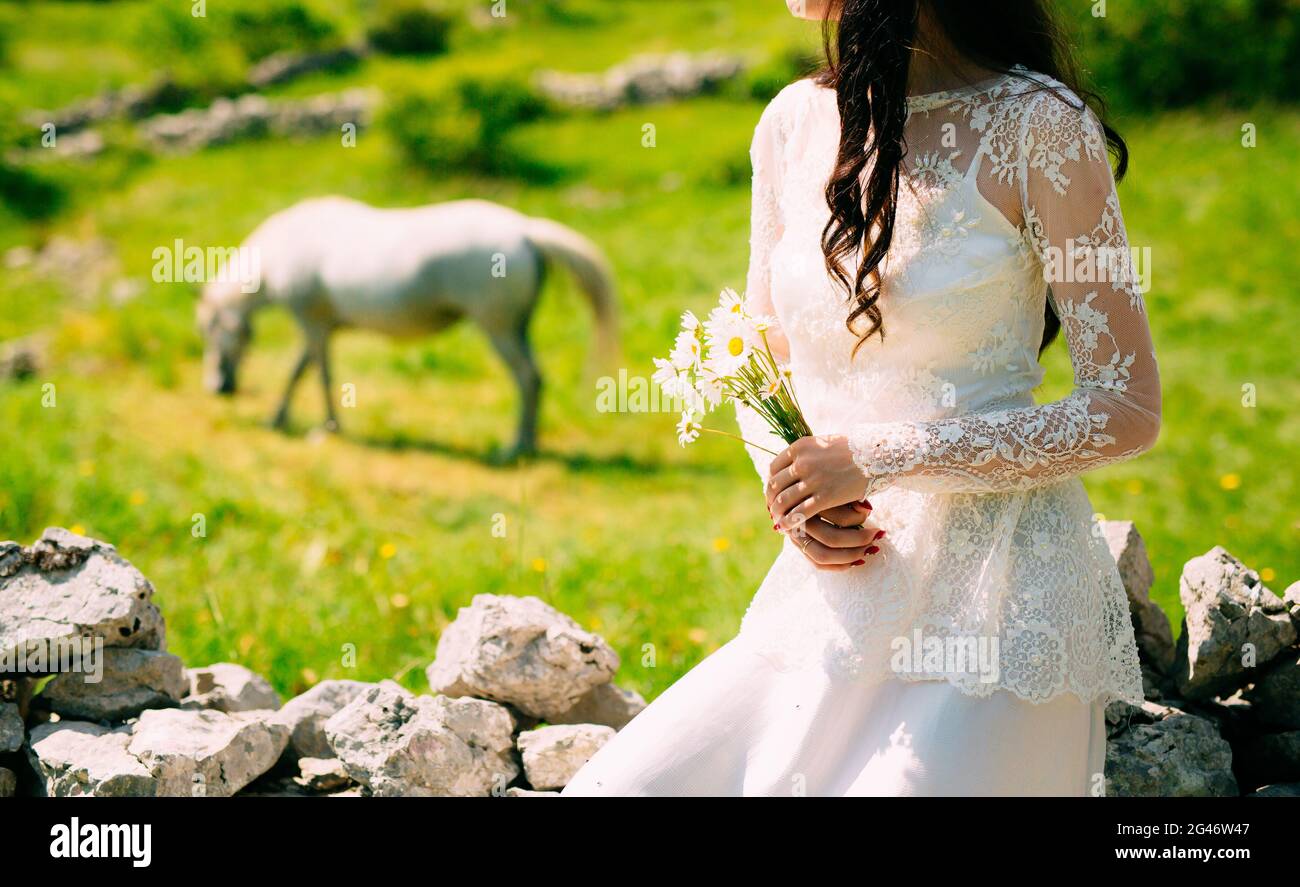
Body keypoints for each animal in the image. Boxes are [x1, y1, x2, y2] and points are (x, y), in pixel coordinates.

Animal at [195, 193, 616, 455]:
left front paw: (325, 426)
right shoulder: (322, 327)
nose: (217, 388)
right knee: (536, 377)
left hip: (498, 329)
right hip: (517, 328)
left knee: (527, 378)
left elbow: (315, 374)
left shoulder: (311, 323)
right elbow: (306, 371)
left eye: (209, 331)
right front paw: (285, 420)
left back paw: (516, 447)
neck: (284, 247)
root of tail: (526, 231)